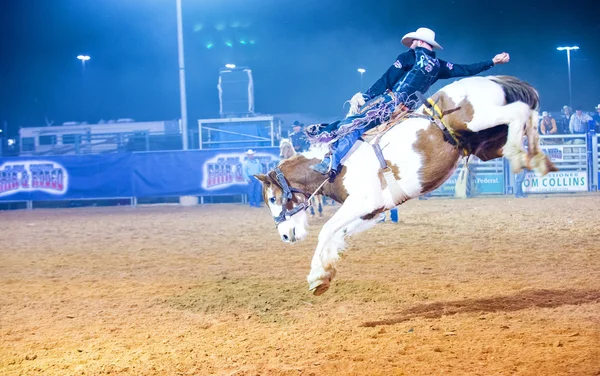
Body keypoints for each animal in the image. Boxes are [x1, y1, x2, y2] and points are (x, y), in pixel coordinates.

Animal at [253, 75, 556, 296]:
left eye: (273, 199)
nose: (284, 236)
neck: (336, 167)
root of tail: (492, 79)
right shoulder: (372, 212)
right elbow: (339, 234)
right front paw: (325, 273)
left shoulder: (360, 203)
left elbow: (327, 229)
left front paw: (317, 275)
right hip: (487, 142)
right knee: (528, 116)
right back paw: (536, 159)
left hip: (481, 118)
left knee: (520, 112)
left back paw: (521, 156)